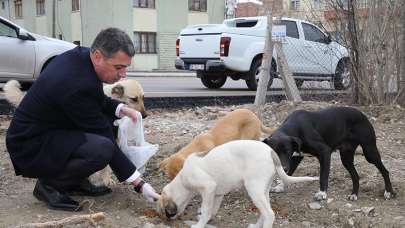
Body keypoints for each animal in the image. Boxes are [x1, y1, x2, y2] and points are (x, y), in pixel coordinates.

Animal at [156, 140, 318, 227]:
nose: (167, 220)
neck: (182, 179)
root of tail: (270, 151)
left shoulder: (208, 187)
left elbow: (207, 210)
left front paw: (199, 224)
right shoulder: (217, 194)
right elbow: (212, 210)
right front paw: (206, 218)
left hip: (253, 189)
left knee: (270, 214)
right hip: (262, 190)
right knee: (265, 212)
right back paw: (255, 226)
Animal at [262, 107, 394, 201]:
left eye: (287, 151)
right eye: (273, 153)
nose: (282, 167)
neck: (296, 127)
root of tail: (363, 115)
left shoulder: (324, 151)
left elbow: (323, 175)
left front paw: (322, 193)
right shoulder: (296, 157)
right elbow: (287, 173)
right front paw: (280, 186)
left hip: (369, 152)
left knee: (385, 171)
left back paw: (389, 192)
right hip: (346, 157)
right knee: (355, 175)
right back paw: (354, 194)